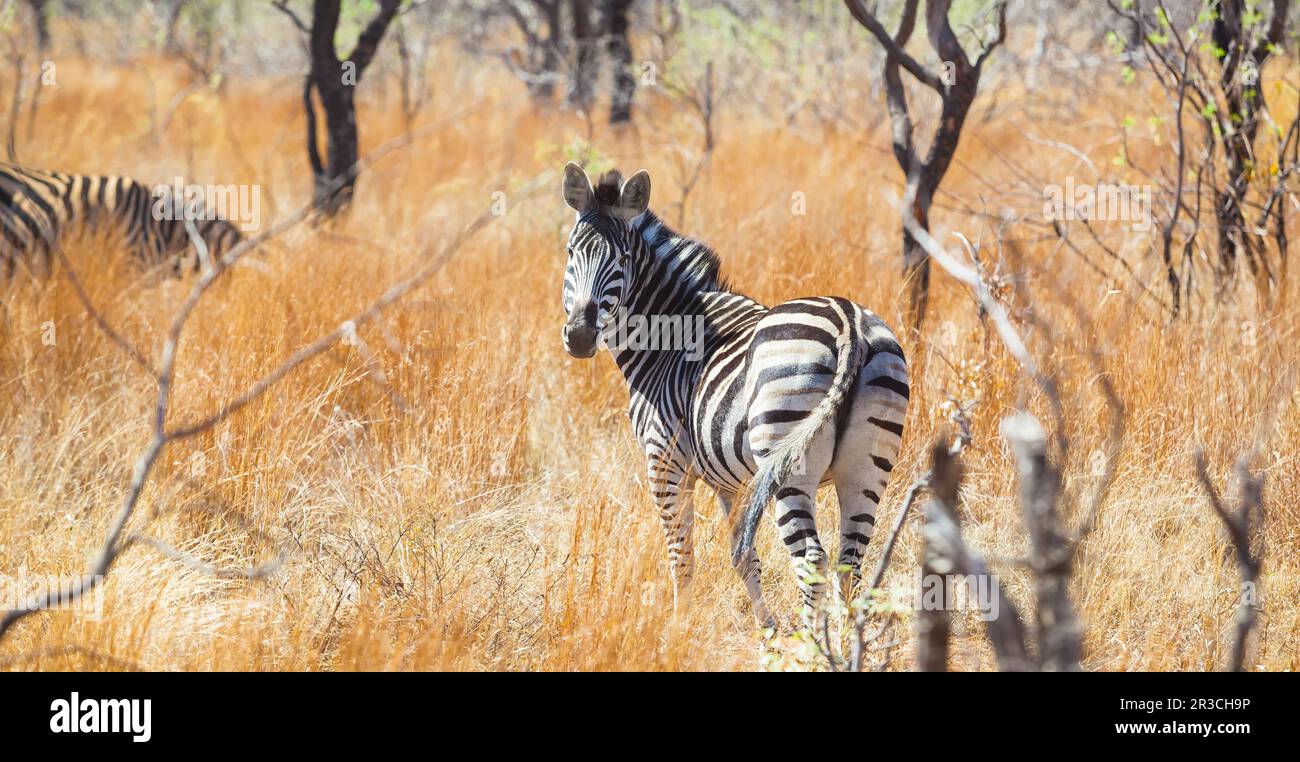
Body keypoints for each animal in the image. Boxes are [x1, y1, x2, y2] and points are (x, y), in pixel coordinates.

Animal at [561, 163, 915, 626]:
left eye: (621, 259)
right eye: (571, 252)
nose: (580, 336)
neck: (670, 337)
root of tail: (849, 323)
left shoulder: (665, 462)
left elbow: (681, 557)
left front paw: (678, 629)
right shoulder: (730, 481)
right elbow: (742, 556)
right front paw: (768, 630)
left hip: (787, 461)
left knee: (812, 558)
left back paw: (810, 641)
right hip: (867, 467)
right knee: (848, 561)